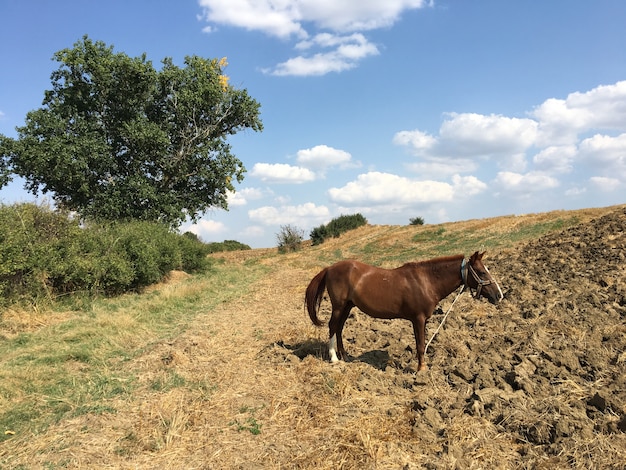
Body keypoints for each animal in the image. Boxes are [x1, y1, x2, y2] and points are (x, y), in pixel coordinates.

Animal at [304, 252, 502, 370]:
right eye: (482, 272)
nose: (499, 295)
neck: (426, 281)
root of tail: (330, 268)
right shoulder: (418, 319)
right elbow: (420, 345)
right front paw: (421, 370)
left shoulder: (422, 320)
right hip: (339, 306)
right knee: (332, 326)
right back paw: (334, 358)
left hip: (347, 306)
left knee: (339, 328)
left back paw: (344, 355)